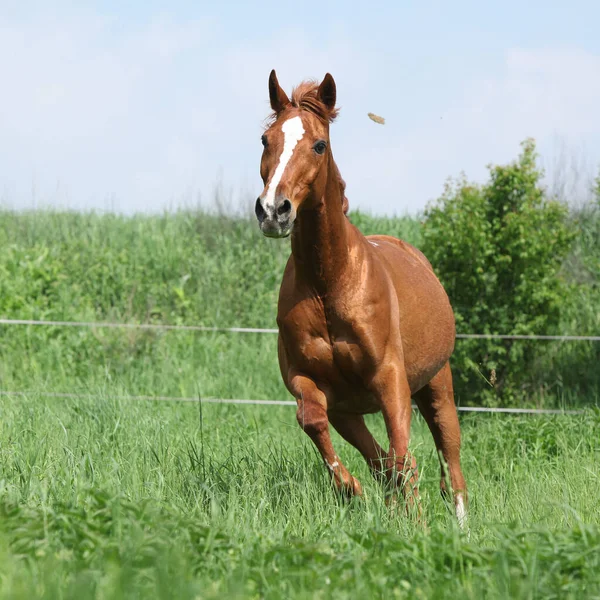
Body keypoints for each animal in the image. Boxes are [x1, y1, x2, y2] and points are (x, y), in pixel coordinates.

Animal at [253, 68, 468, 524]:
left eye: (319, 144)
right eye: (266, 140)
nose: (273, 211)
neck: (329, 284)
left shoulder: (391, 381)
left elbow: (404, 456)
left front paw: (416, 524)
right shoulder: (310, 384)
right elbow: (314, 421)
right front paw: (352, 491)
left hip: (437, 383)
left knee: (449, 455)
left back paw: (459, 524)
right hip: (350, 412)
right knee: (382, 461)